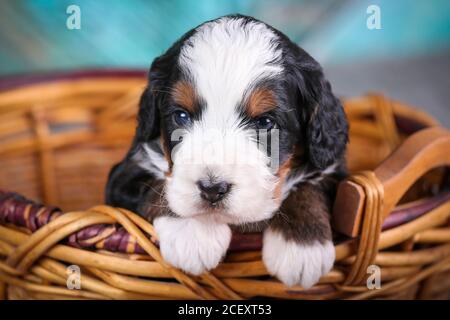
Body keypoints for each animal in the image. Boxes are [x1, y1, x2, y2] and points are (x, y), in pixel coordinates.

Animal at [106, 14, 348, 288]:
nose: (212, 189)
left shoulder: (333, 168)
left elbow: (309, 187)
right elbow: (157, 187)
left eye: (265, 122)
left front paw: (301, 247)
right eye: (181, 116)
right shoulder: (125, 173)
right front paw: (193, 233)